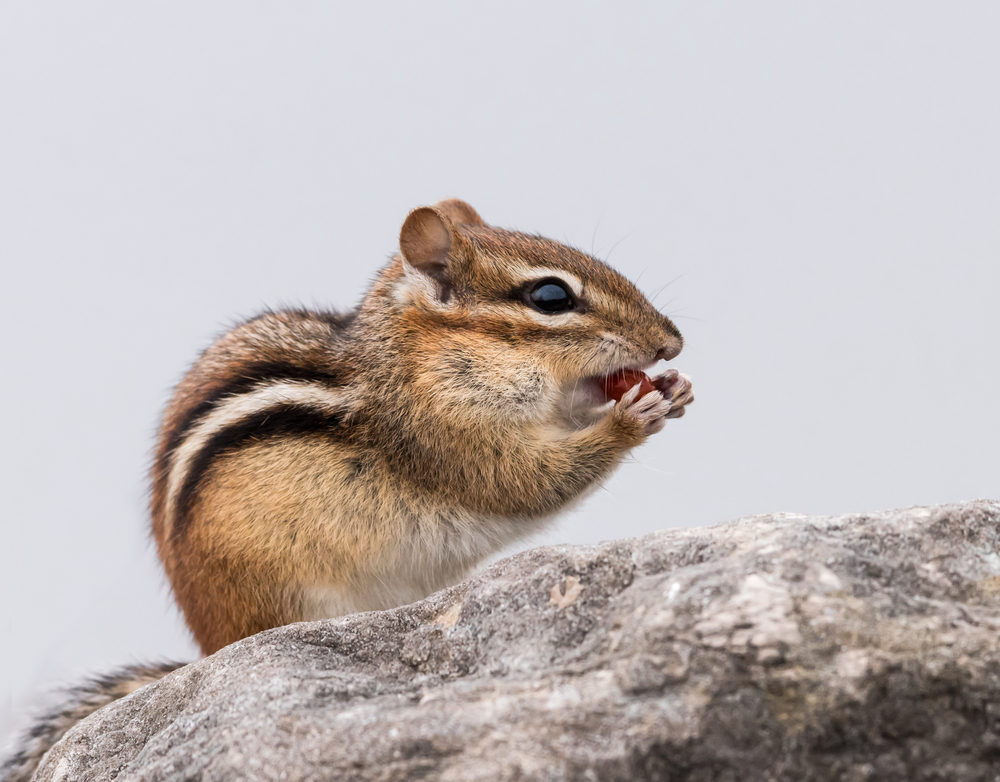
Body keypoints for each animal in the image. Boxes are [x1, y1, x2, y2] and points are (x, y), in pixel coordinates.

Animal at [1, 199, 693, 781]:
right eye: (551, 296)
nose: (672, 341)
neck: (421, 357)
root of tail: (206, 649)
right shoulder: (443, 435)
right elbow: (525, 482)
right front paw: (630, 420)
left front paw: (673, 390)